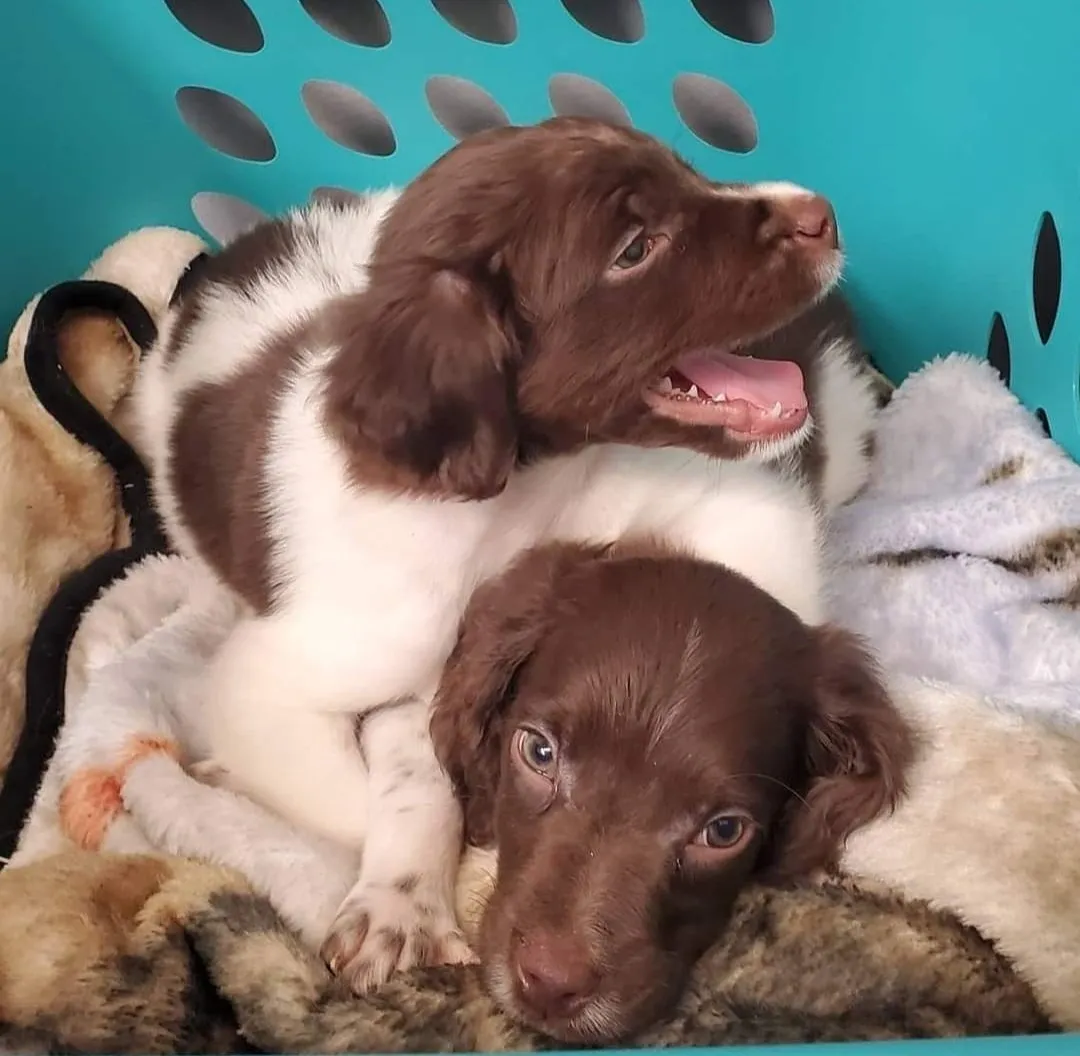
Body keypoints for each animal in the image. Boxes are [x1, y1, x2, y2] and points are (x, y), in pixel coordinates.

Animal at [130, 115, 881, 989]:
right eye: (634, 248)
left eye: (687, 168)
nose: (821, 213)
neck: (515, 508)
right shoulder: (272, 681)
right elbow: (379, 785)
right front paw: (398, 888)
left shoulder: (740, 509)